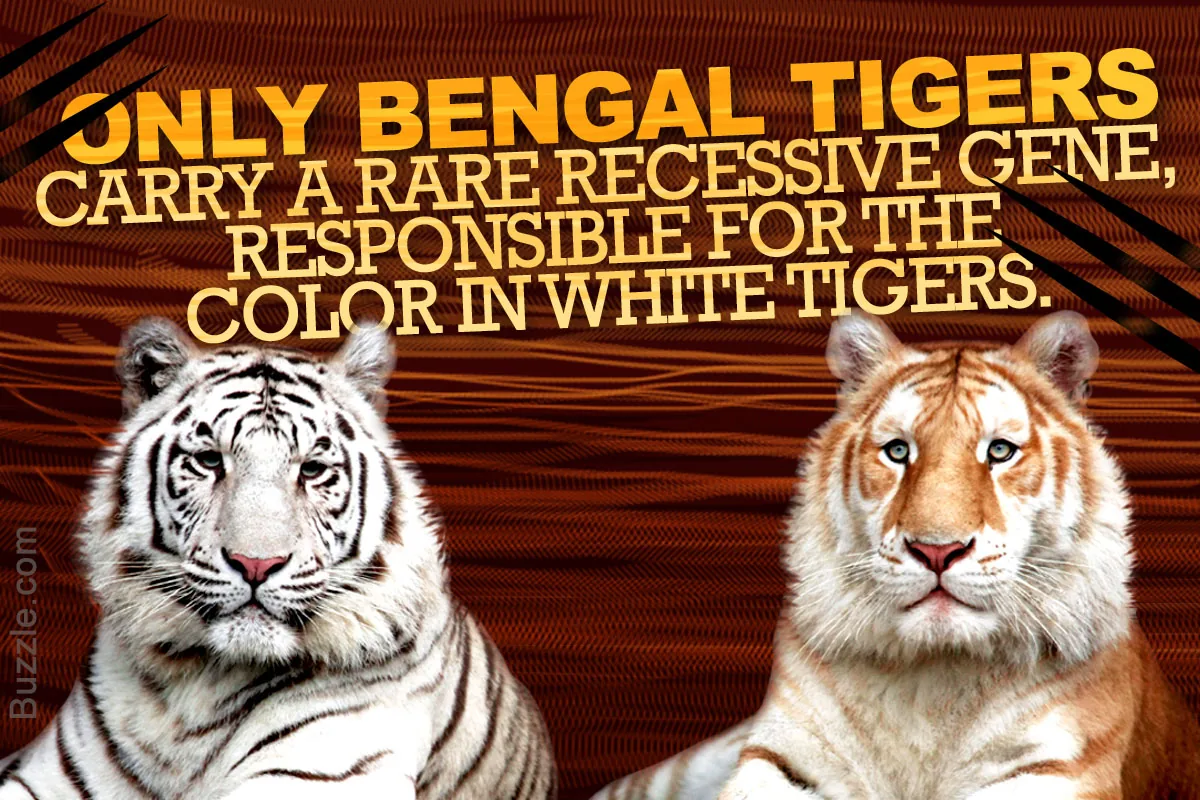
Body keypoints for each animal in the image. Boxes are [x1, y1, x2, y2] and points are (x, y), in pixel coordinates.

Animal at [596, 310, 1200, 800]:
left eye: (999, 451)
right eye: (897, 451)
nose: (937, 550)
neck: (927, 682)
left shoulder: (1054, 765)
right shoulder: (785, 758)